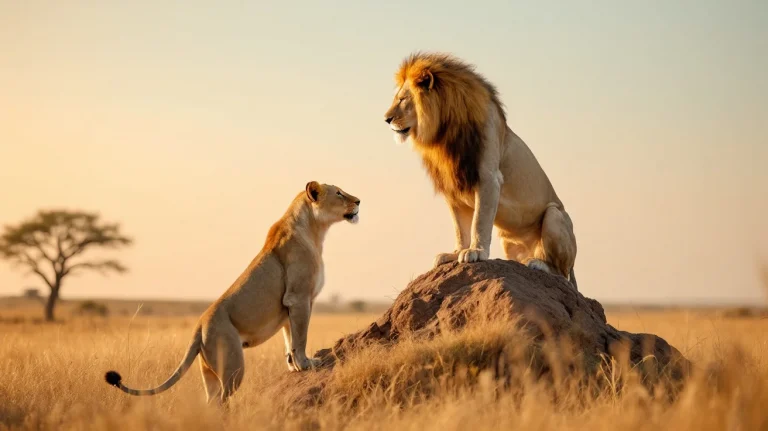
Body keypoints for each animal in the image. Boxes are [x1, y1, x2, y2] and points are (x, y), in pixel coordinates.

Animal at [104, 181, 361, 405]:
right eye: (339, 193)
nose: (359, 201)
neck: (315, 230)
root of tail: (198, 327)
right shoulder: (299, 298)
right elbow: (300, 337)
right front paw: (306, 364)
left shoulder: (291, 304)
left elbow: (289, 339)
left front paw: (294, 366)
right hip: (233, 364)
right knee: (221, 400)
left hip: (209, 371)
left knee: (211, 401)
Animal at [384, 52, 578, 290]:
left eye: (403, 99)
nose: (386, 119)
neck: (443, 134)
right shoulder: (453, 188)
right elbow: (460, 228)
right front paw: (455, 253)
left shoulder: (488, 179)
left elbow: (480, 221)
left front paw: (475, 251)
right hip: (509, 242)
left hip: (554, 215)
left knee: (562, 274)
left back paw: (538, 264)